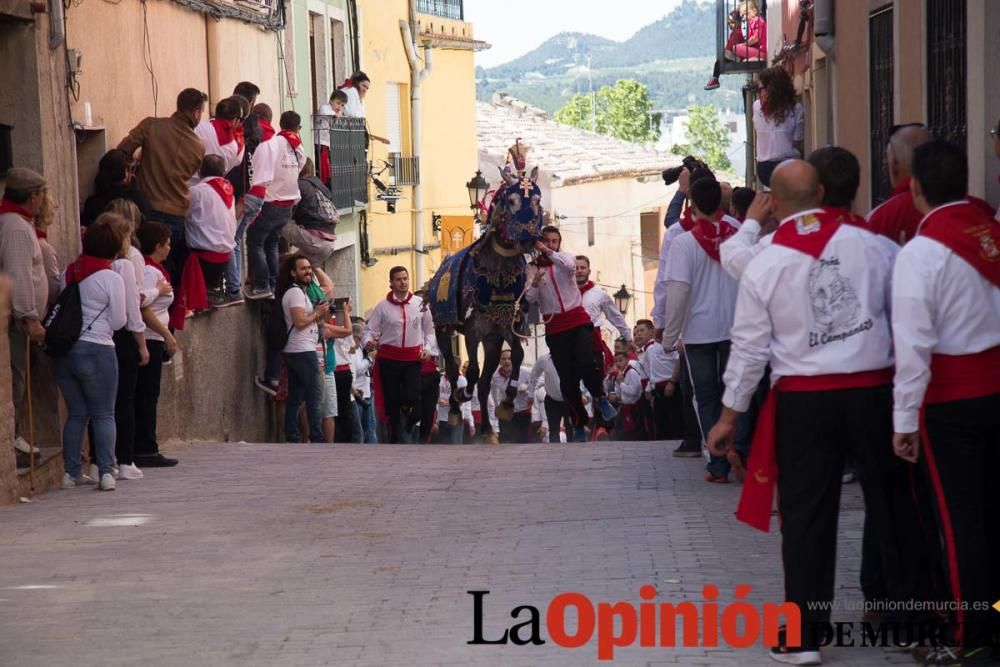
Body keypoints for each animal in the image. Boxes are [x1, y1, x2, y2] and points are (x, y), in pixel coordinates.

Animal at [426, 166, 544, 444]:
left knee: (485, 381)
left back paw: (489, 429)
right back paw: (457, 408)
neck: (497, 275)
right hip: (443, 329)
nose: (529, 238)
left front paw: (508, 404)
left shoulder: (506, 328)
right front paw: (461, 395)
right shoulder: (473, 330)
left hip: (491, 342)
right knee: (452, 368)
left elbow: (517, 356)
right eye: (511, 200)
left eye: (537, 200)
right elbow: (469, 371)